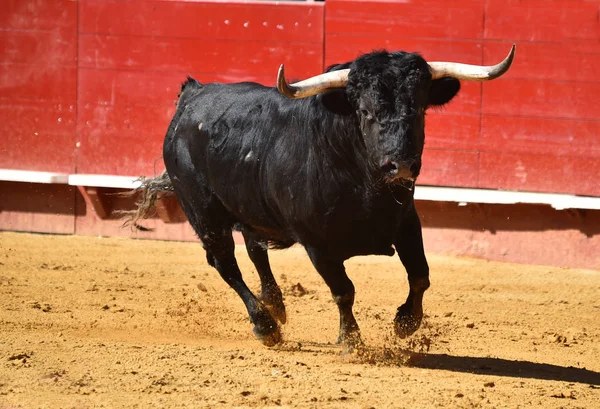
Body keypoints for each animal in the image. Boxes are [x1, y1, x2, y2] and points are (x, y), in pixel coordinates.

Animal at [132, 47, 516, 348]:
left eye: (420, 110)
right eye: (365, 112)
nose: (401, 165)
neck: (365, 186)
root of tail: (191, 97)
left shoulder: (407, 221)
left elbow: (420, 274)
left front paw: (406, 323)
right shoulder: (317, 244)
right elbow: (343, 290)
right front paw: (351, 341)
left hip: (252, 207)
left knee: (255, 248)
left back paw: (276, 306)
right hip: (203, 212)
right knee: (225, 263)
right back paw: (266, 326)